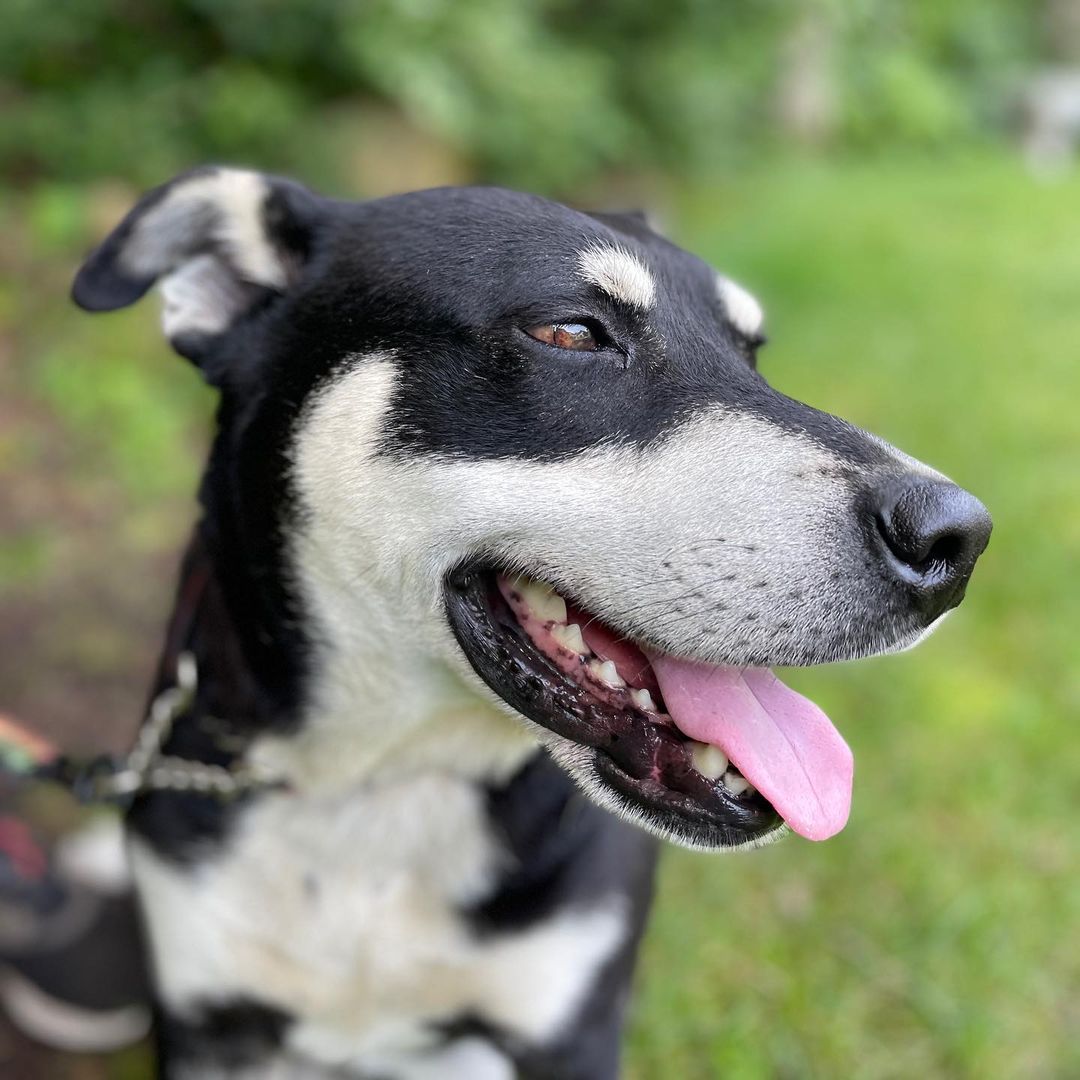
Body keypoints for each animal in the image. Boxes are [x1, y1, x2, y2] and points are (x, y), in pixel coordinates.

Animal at [71, 164, 989, 1075]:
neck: (385, 783)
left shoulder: (568, 1024)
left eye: (751, 352)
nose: (959, 538)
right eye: (571, 333)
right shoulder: (211, 1025)